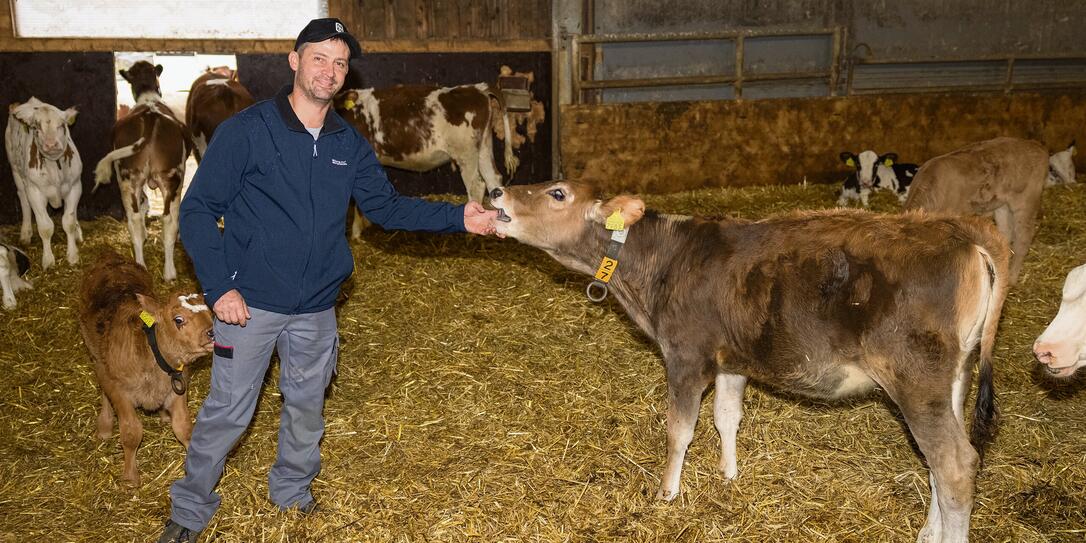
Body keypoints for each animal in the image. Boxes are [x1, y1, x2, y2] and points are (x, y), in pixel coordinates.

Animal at [4, 97, 83, 269]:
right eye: (36, 127)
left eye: (61, 124)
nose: (51, 144)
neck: (54, 166)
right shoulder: (34, 191)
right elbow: (45, 227)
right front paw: (48, 260)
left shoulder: (75, 186)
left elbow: (68, 221)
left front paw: (73, 255)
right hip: (16, 171)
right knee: (23, 200)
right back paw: (25, 233)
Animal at [79, 249, 213, 484]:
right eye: (178, 319)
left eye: (209, 312)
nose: (211, 332)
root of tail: (108, 255)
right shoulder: (119, 392)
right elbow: (132, 433)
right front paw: (130, 477)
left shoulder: (178, 386)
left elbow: (184, 427)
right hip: (95, 354)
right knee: (102, 386)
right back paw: (104, 426)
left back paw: (163, 416)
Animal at [93, 61, 195, 282]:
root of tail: (149, 117)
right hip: (173, 178)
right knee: (167, 219)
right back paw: (169, 272)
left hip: (128, 178)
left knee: (136, 219)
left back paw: (141, 266)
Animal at [493, 181, 1007, 543]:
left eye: (557, 192)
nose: (496, 191)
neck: (663, 261)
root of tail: (959, 233)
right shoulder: (731, 359)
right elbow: (727, 416)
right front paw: (729, 475)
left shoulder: (686, 355)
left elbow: (679, 430)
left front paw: (667, 493)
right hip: (953, 377)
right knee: (941, 461)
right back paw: (928, 530)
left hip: (916, 378)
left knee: (955, 463)